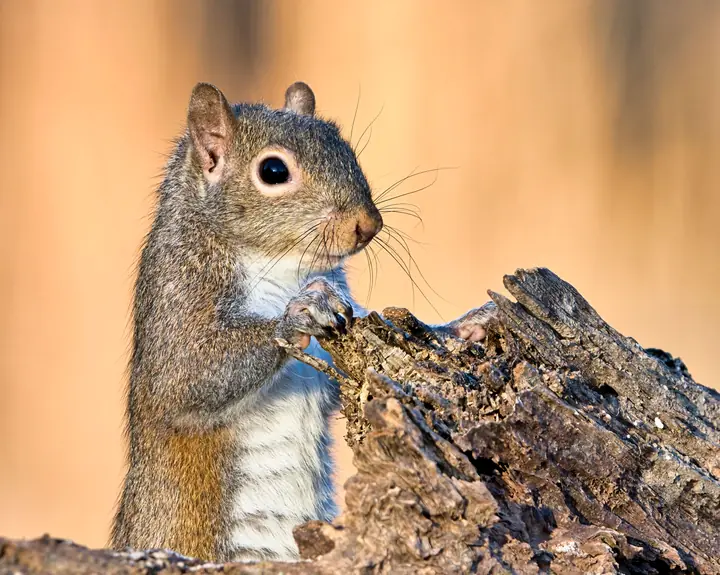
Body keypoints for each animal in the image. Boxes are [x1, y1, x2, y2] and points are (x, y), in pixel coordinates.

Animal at [111, 81, 496, 563]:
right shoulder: (176, 296)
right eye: (273, 170)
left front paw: (462, 325)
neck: (280, 264)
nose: (368, 224)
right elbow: (185, 379)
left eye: (345, 148)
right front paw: (299, 314)